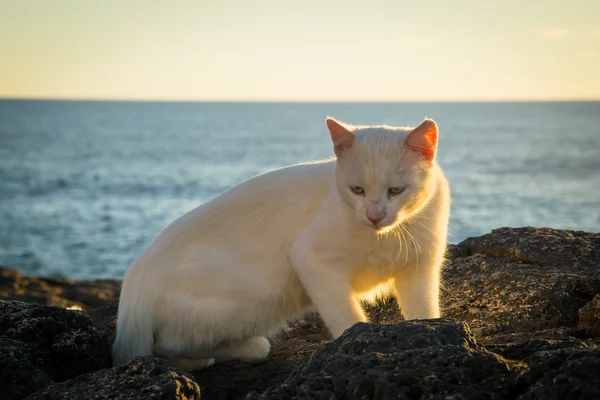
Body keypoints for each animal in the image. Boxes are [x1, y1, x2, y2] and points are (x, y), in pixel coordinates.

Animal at [112, 117, 450, 370]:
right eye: (357, 190)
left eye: (396, 190)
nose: (374, 216)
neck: (384, 237)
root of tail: (133, 288)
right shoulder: (311, 259)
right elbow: (346, 317)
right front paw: (355, 341)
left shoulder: (420, 269)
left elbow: (424, 312)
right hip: (253, 297)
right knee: (170, 345)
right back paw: (243, 349)